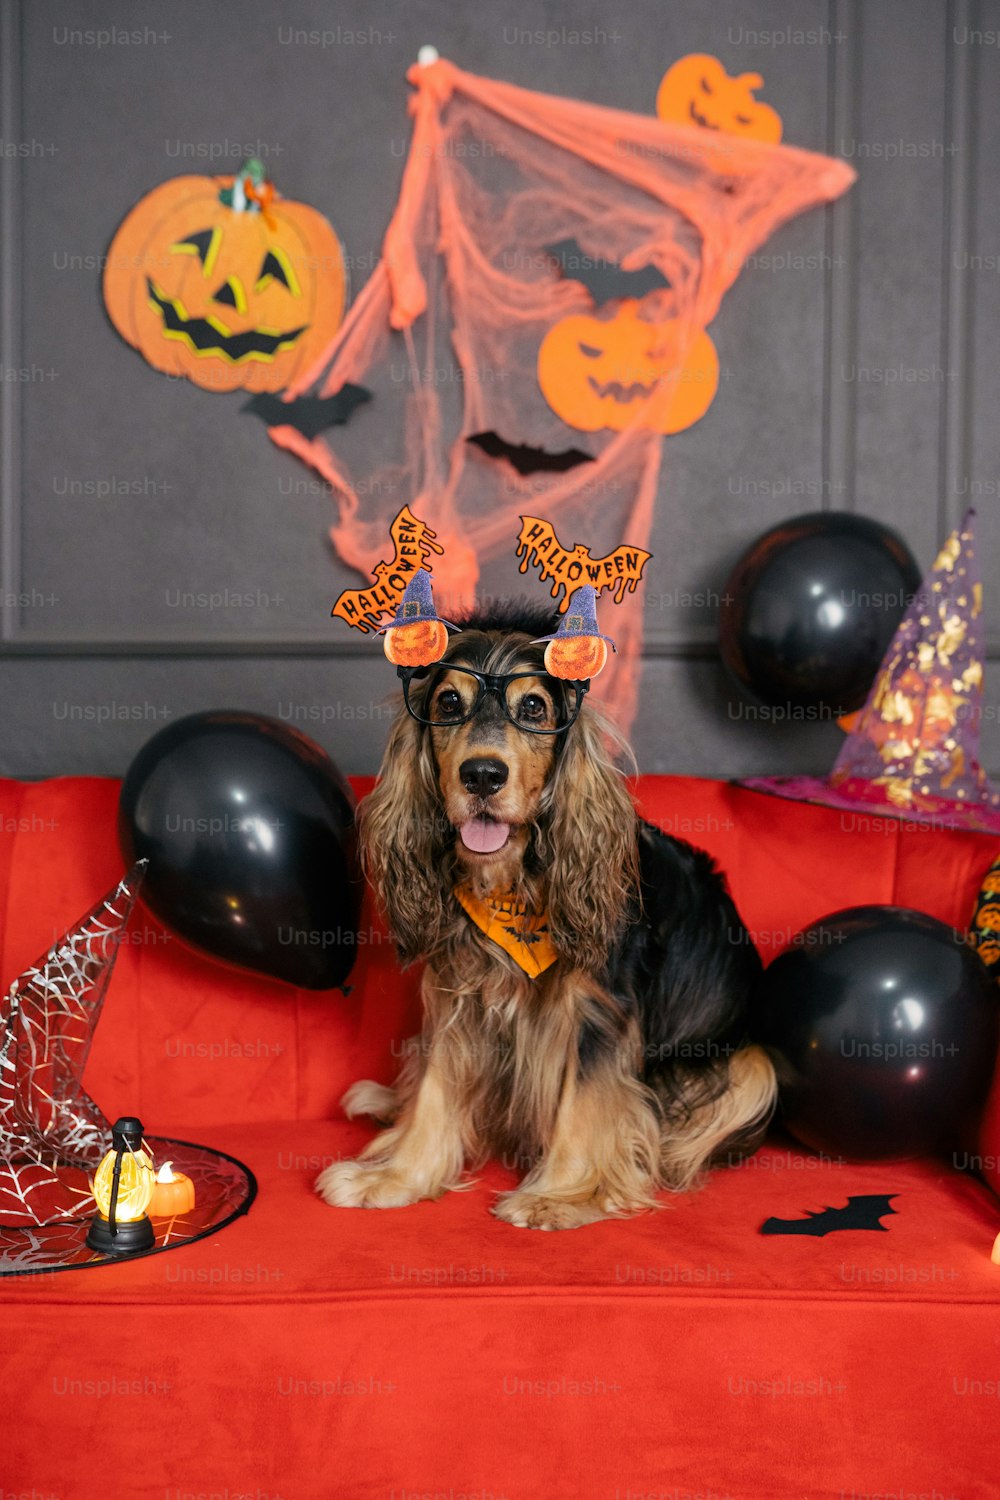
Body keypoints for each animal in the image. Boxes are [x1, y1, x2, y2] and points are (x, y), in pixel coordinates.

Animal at [316, 597, 779, 1230]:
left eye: (533, 707)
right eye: (449, 703)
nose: (482, 775)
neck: (514, 882)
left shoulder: (598, 1011)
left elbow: (582, 1104)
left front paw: (559, 1194)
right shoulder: (458, 992)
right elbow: (436, 1086)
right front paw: (397, 1176)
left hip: (753, 1066)